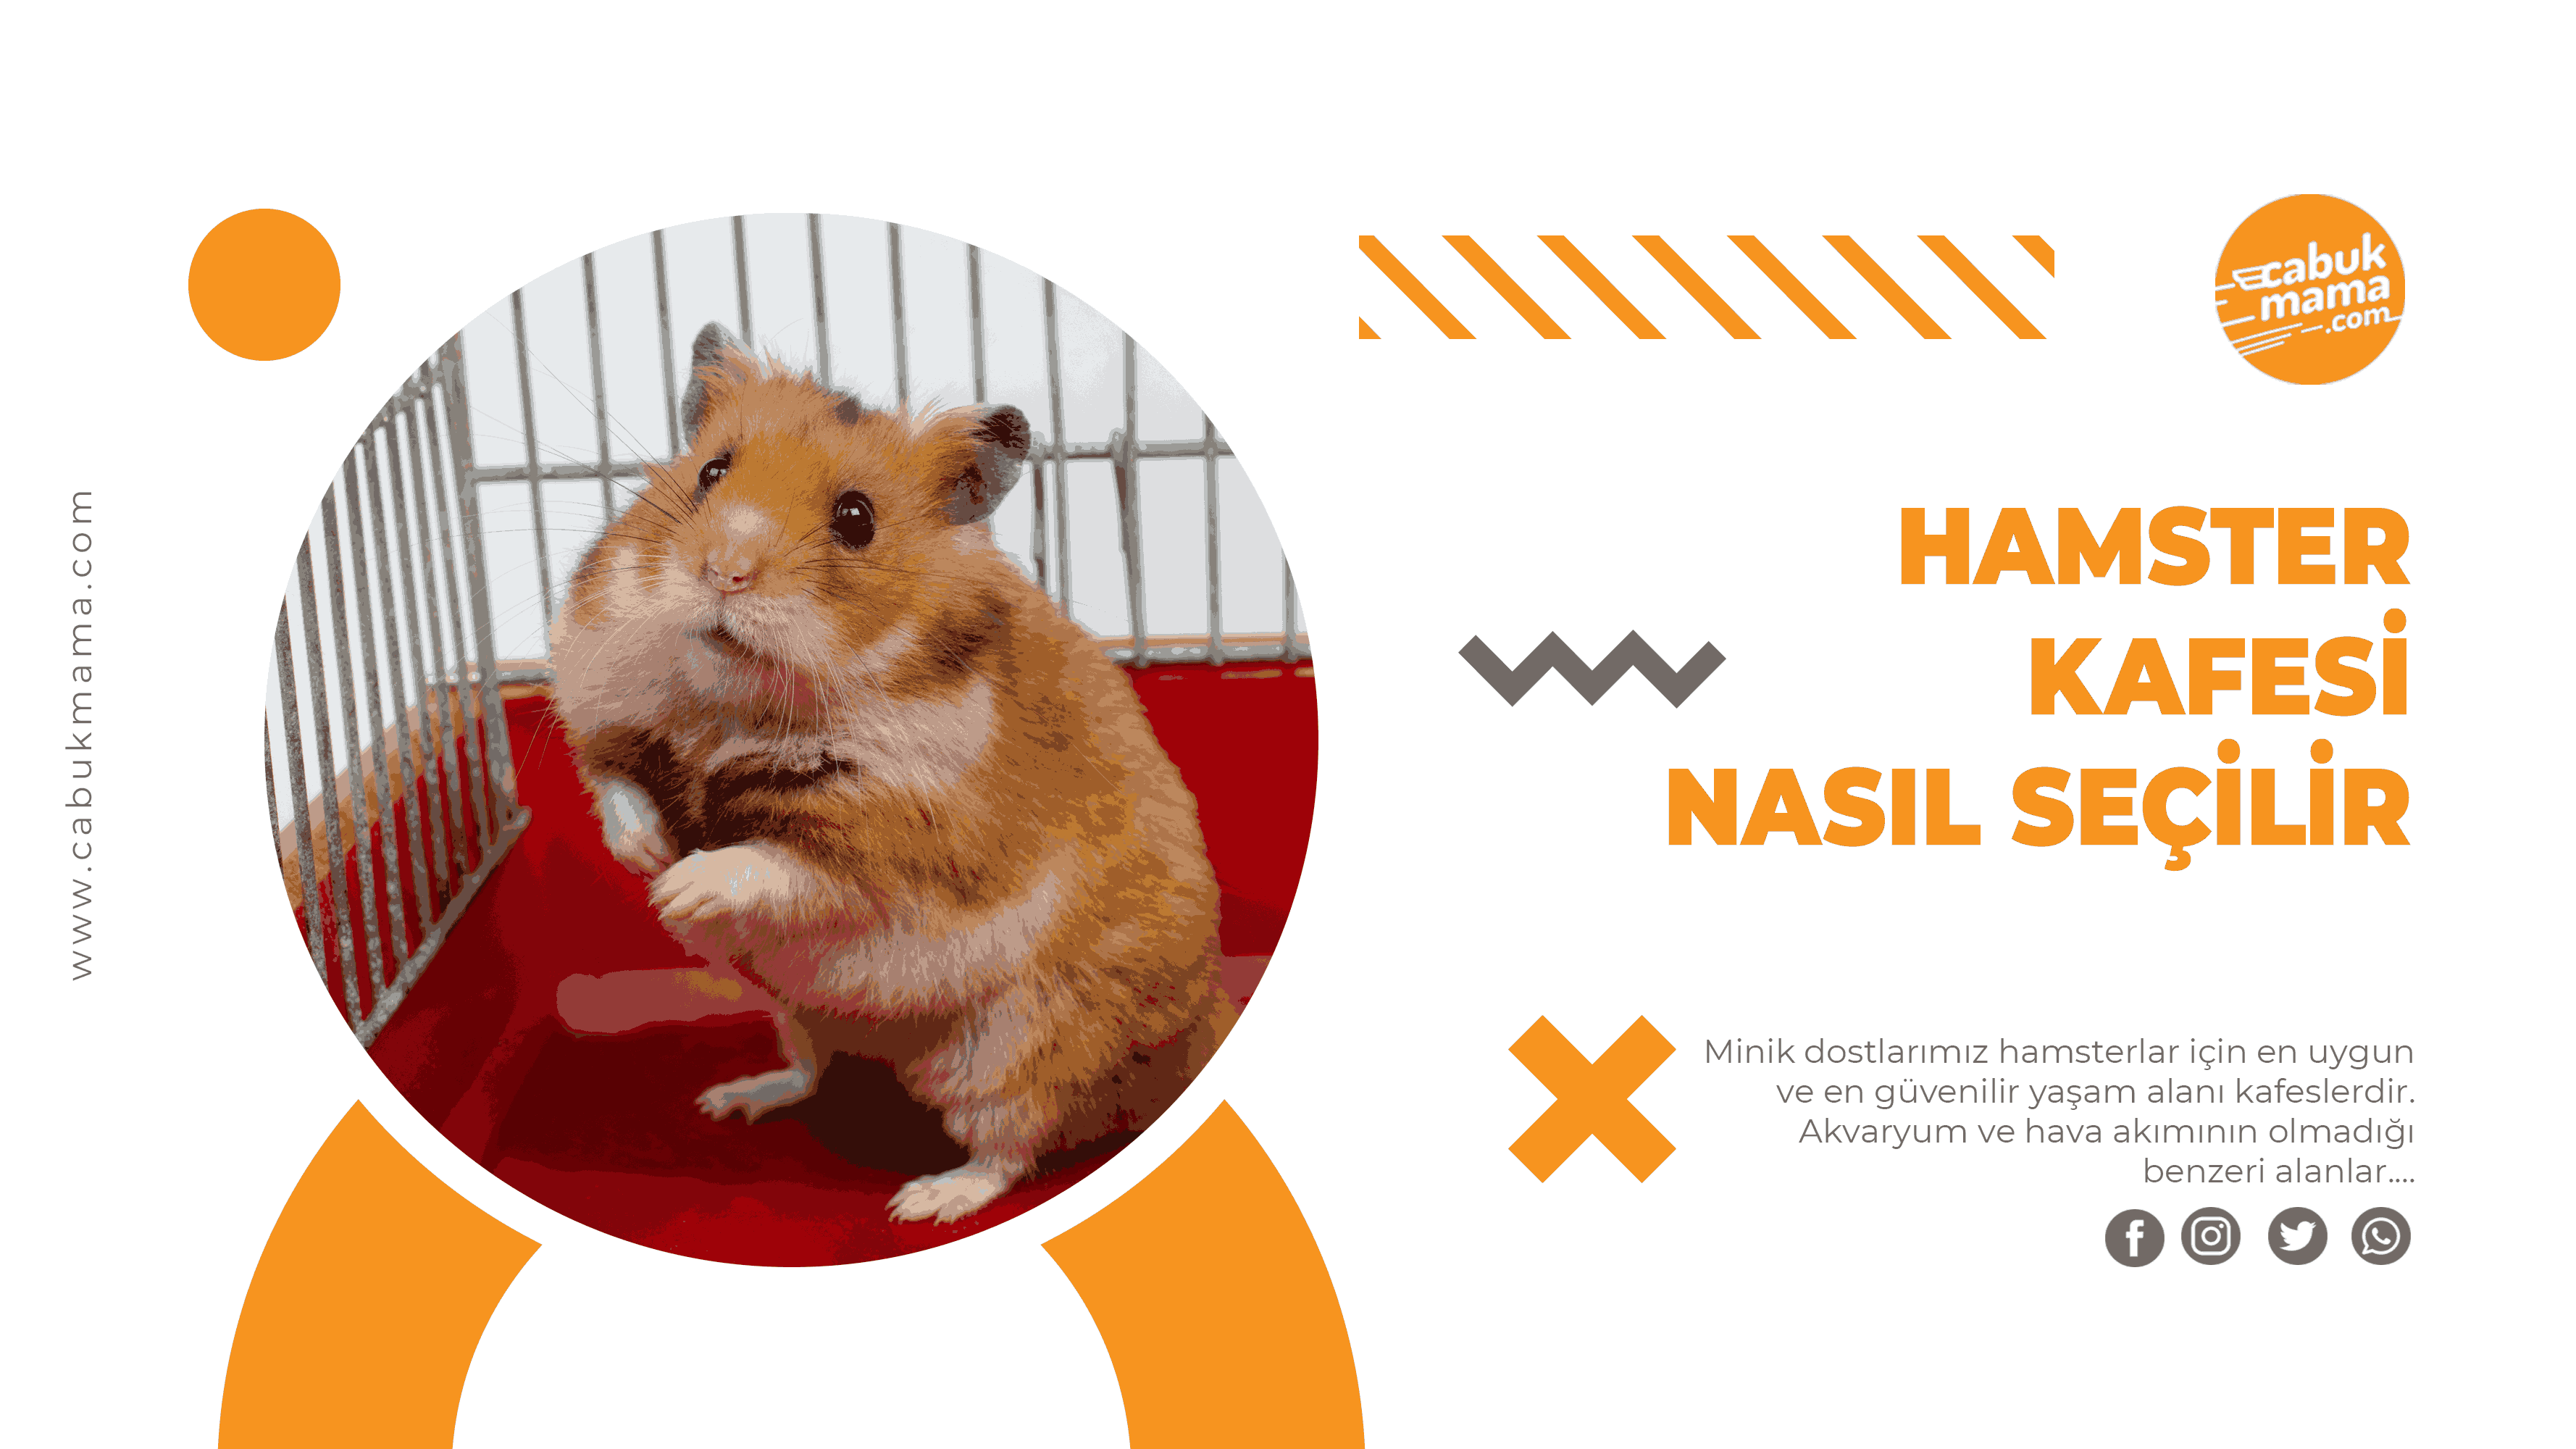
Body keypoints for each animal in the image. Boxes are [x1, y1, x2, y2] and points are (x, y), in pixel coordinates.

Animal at [547, 322, 1235, 1223]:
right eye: (711, 471)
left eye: (856, 518)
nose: (725, 571)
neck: (734, 700)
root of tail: (1205, 1022)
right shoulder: (609, 715)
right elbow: (618, 789)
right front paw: (649, 858)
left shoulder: (895, 844)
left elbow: (776, 863)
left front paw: (679, 888)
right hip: (798, 1011)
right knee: (810, 1069)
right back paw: (733, 1097)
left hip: (1016, 1051)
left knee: (1011, 1148)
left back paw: (922, 1199)